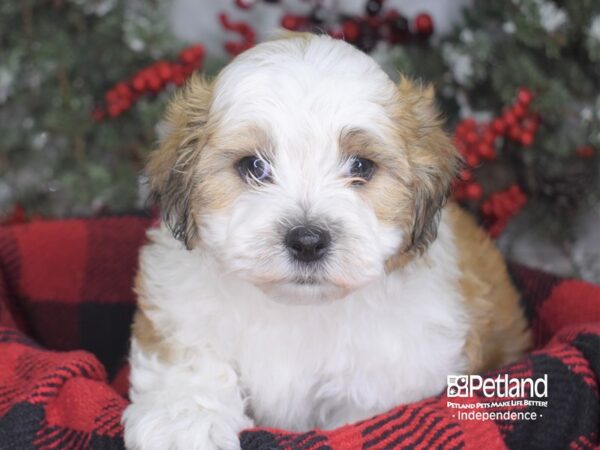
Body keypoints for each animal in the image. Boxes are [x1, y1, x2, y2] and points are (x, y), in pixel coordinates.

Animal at [122, 33, 528, 448]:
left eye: (360, 166)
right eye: (254, 167)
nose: (307, 240)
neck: (298, 307)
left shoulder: (389, 379)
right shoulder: (179, 313)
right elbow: (191, 364)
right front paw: (185, 423)